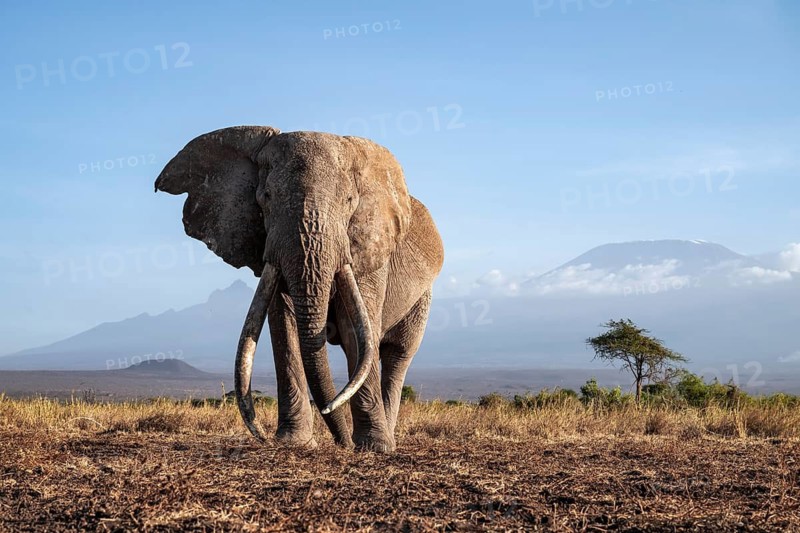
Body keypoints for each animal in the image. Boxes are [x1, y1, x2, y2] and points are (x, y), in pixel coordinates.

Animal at [154, 126, 443, 452]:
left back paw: (387, 439)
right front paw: (295, 442)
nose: (342, 442)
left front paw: (374, 448)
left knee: (398, 353)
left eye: (349, 200)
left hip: (422, 298)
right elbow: (284, 323)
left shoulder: (370, 249)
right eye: (266, 197)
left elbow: (353, 329)